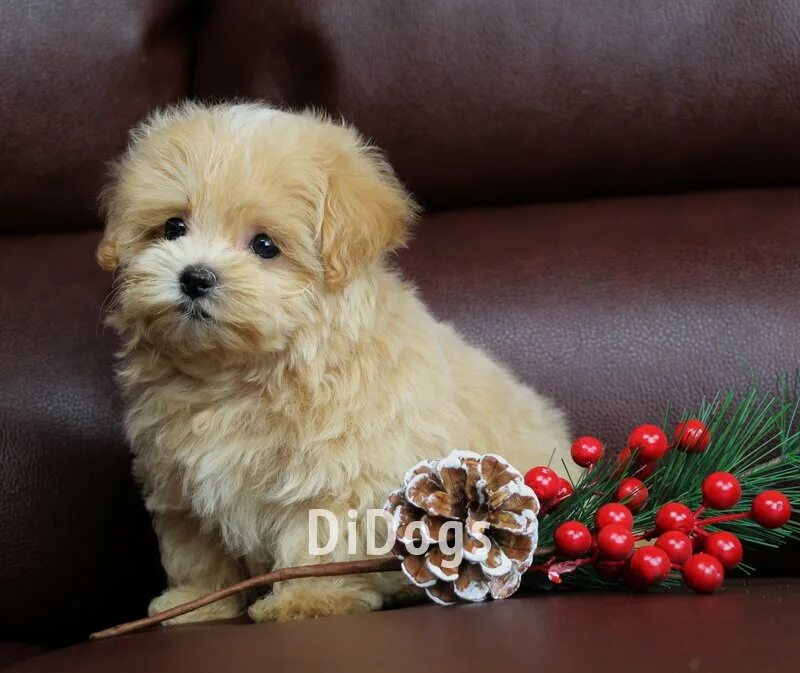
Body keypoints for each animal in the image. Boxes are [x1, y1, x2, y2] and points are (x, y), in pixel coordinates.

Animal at [100, 102, 572, 624]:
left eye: (265, 246)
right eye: (173, 227)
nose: (195, 277)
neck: (239, 373)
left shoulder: (340, 471)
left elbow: (321, 534)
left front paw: (310, 598)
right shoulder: (179, 481)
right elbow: (196, 549)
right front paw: (193, 603)